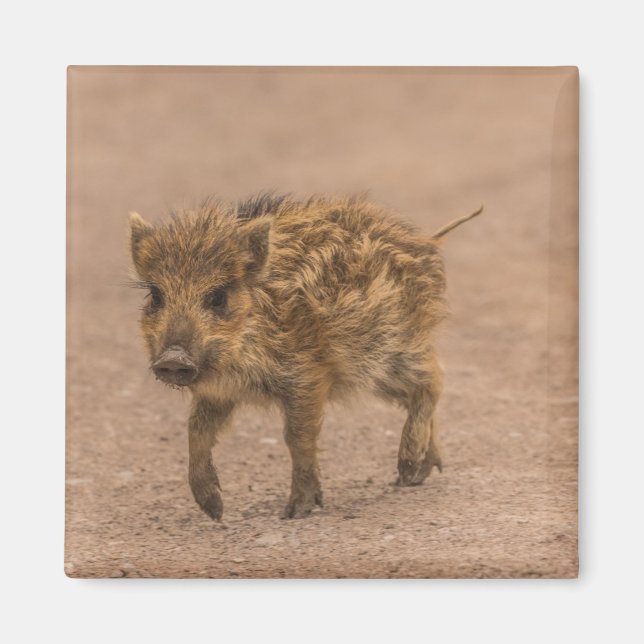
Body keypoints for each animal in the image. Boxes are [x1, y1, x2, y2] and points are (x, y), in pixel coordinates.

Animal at [129, 194, 482, 519]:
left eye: (217, 297)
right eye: (156, 295)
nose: (173, 359)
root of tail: (426, 242)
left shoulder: (307, 376)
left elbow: (297, 436)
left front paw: (296, 511)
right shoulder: (219, 392)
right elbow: (197, 430)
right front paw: (215, 511)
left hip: (387, 352)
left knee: (433, 380)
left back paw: (406, 470)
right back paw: (417, 474)